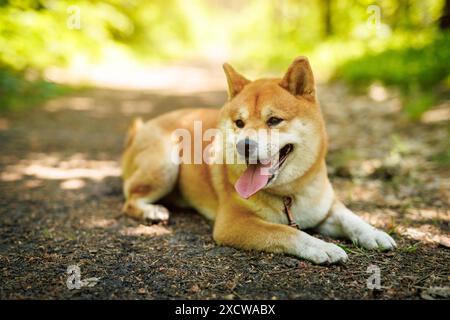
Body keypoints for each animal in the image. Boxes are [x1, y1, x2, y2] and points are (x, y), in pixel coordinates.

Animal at [121, 56, 396, 264]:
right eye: (239, 123)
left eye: (274, 120)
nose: (244, 145)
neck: (289, 194)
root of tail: (139, 131)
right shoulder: (233, 223)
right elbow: (285, 231)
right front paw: (322, 247)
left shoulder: (323, 208)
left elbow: (350, 217)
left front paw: (373, 233)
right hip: (165, 165)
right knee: (129, 201)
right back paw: (152, 210)